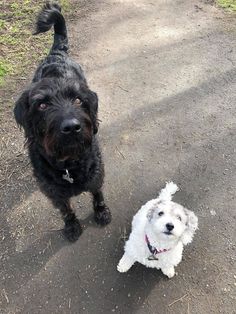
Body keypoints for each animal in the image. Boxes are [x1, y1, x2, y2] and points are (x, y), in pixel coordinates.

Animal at [13, 2, 111, 242]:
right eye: (42, 105)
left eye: (78, 99)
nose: (72, 127)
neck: (68, 164)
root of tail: (56, 54)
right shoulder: (53, 193)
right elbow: (66, 209)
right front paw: (72, 225)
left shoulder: (96, 175)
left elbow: (98, 194)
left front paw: (101, 212)